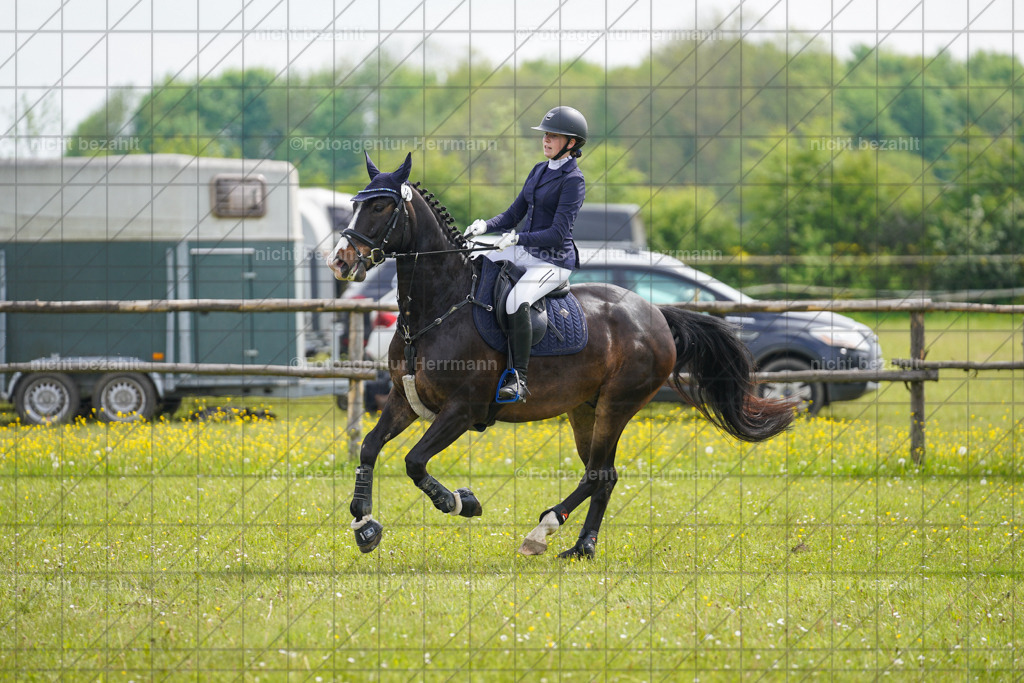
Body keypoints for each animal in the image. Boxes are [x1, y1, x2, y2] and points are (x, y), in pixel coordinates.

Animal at [326, 153, 793, 560]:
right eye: (355, 205)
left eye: (382, 206)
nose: (340, 262)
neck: (438, 309)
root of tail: (656, 314)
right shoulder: (404, 400)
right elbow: (369, 447)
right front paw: (364, 525)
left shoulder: (461, 409)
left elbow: (414, 461)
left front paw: (461, 502)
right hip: (584, 409)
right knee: (605, 475)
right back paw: (581, 547)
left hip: (616, 405)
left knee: (598, 473)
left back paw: (543, 531)